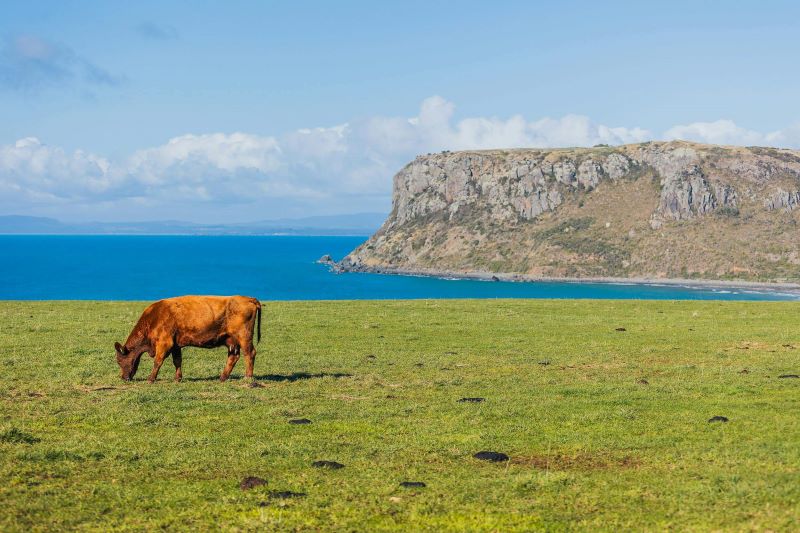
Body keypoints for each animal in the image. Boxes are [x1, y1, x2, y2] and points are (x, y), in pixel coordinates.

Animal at [115, 296, 262, 382]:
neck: (155, 316)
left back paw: (248, 378)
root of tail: (248, 298)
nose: (123, 377)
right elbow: (177, 361)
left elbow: (158, 361)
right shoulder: (175, 345)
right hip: (232, 341)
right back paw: (222, 378)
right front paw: (177, 378)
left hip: (244, 337)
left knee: (250, 353)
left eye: (119, 360)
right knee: (233, 357)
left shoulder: (165, 343)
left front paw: (151, 379)